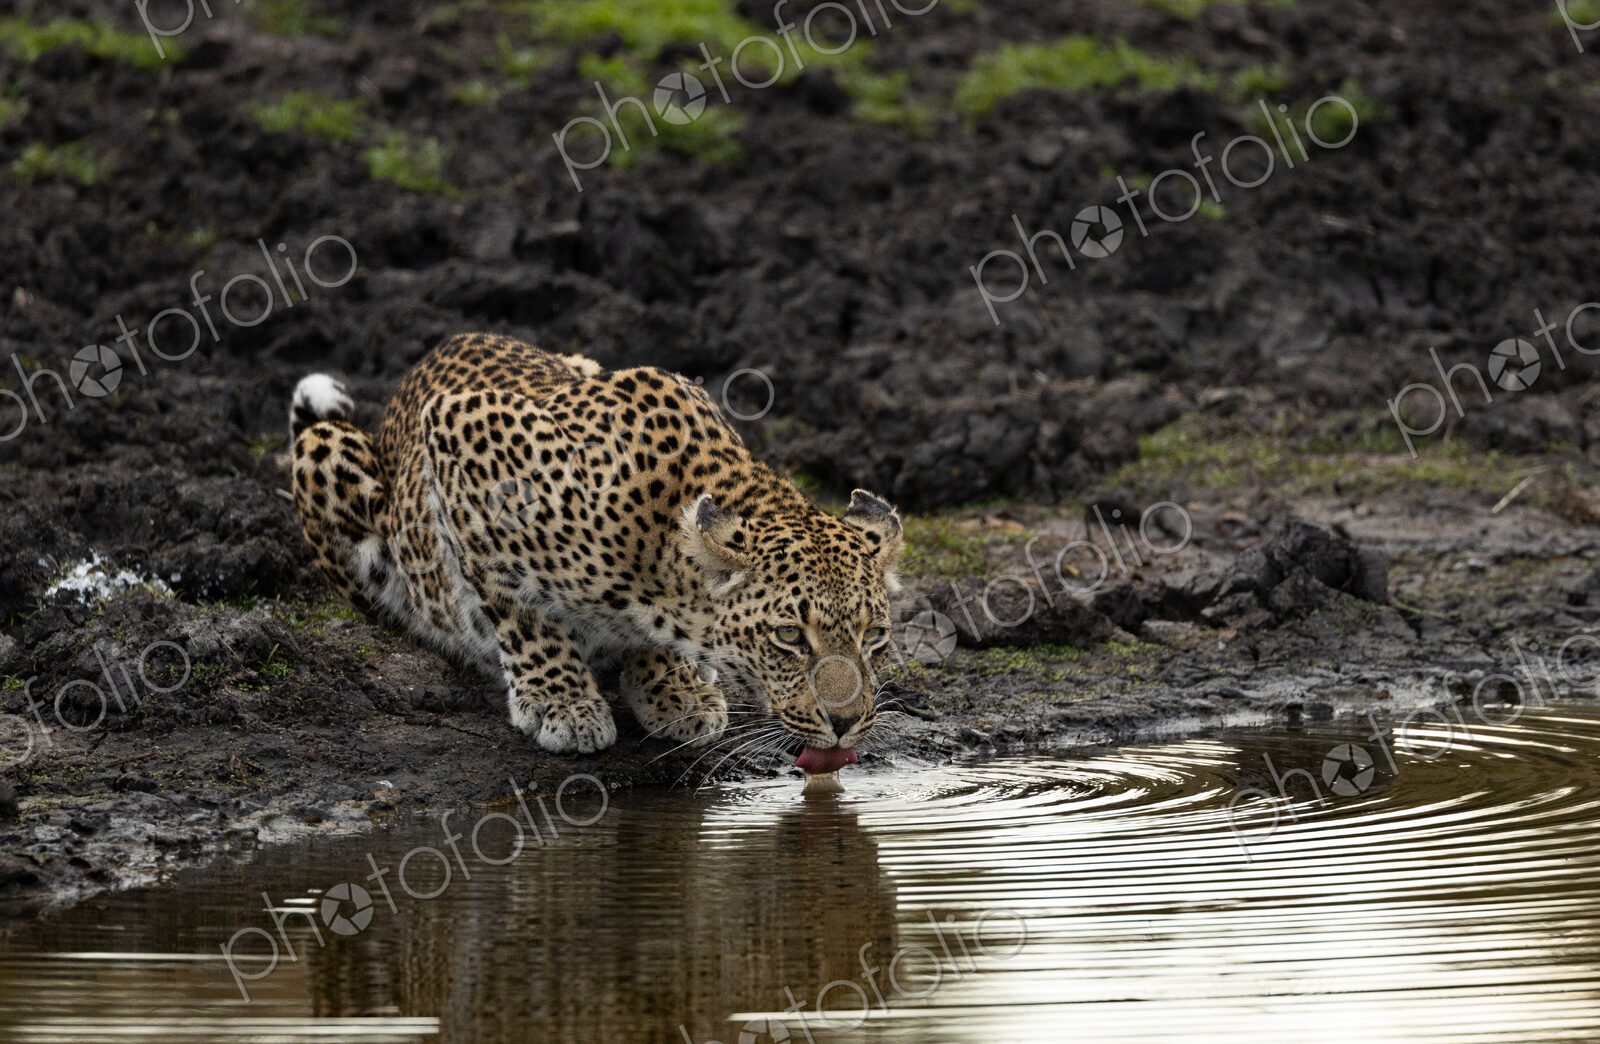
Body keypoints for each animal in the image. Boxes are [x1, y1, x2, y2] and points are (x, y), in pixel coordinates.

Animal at [287, 333, 904, 769]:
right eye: (789, 637)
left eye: (873, 636)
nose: (846, 723)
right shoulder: (460, 432)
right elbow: (518, 606)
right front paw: (560, 703)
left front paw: (674, 687)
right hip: (327, 453)